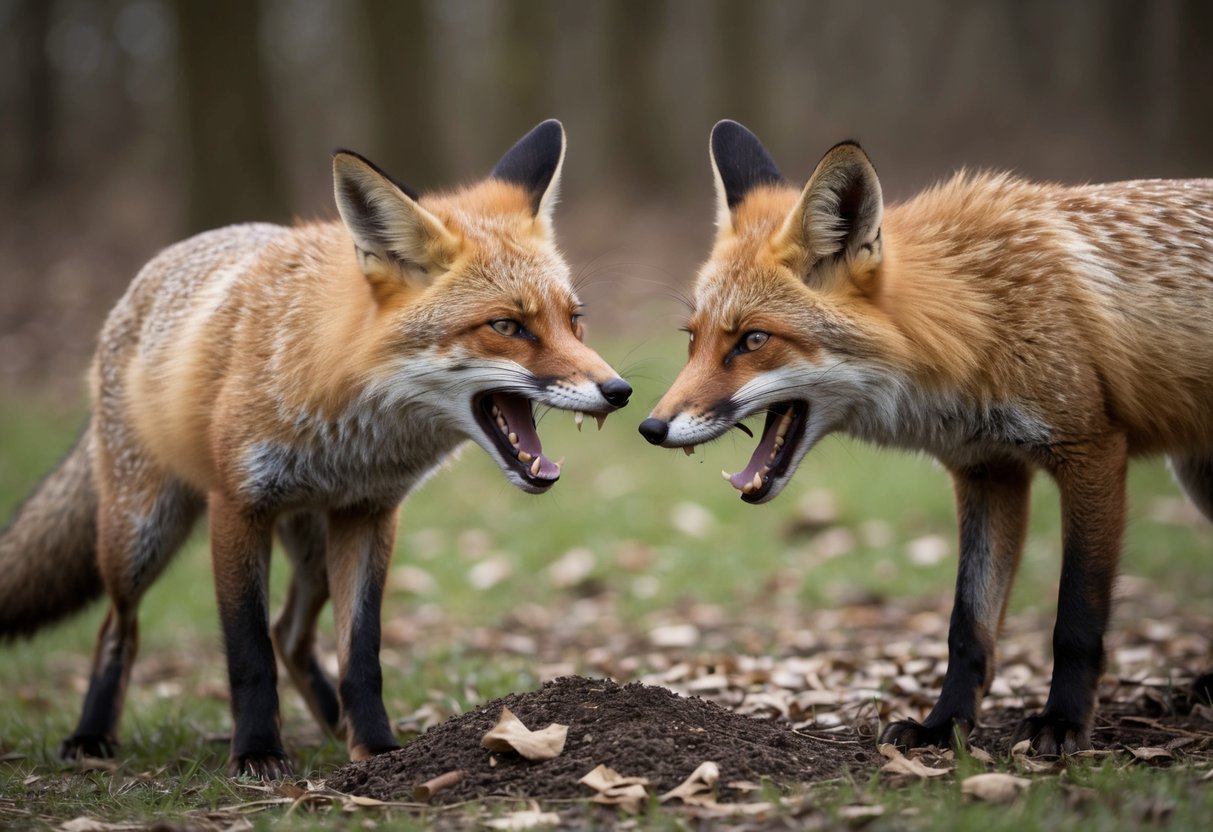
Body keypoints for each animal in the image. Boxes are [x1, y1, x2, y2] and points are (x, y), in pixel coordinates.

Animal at [0, 119, 632, 778]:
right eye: (507, 326)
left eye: (574, 320)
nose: (620, 391)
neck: (352, 432)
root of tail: (149, 274)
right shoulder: (237, 506)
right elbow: (247, 651)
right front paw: (257, 753)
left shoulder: (368, 514)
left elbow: (361, 652)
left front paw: (375, 748)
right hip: (140, 534)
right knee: (118, 626)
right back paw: (91, 736)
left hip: (311, 548)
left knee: (291, 633)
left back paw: (334, 722)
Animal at [640, 119, 1213, 755]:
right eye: (692, 339)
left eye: (753, 340)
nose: (650, 427)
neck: (981, 317)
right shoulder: (988, 470)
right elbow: (967, 627)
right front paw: (944, 726)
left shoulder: (1091, 451)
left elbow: (1076, 619)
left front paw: (1062, 723)